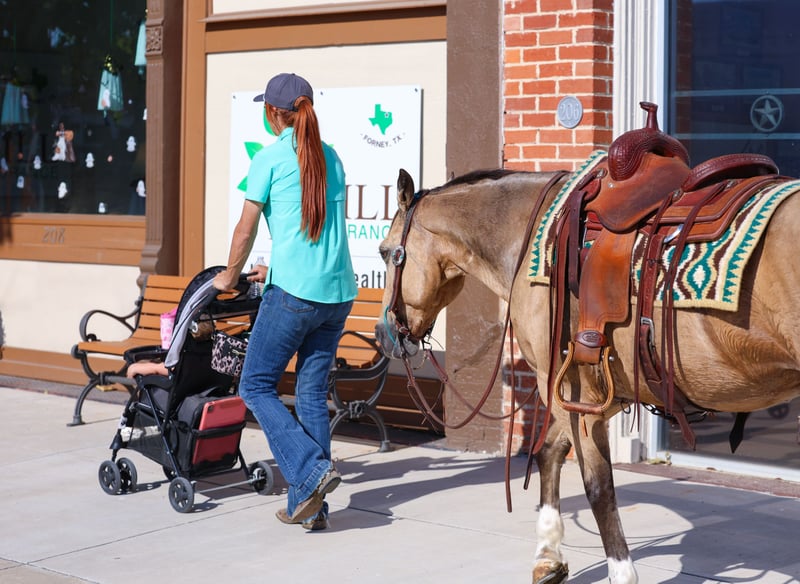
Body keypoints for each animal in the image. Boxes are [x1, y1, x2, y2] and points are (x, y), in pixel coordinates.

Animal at [374, 162, 800, 583]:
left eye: (385, 252)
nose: (382, 334)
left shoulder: (572, 393)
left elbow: (598, 488)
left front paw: (619, 572)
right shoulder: (587, 394)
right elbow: (549, 453)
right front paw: (548, 556)